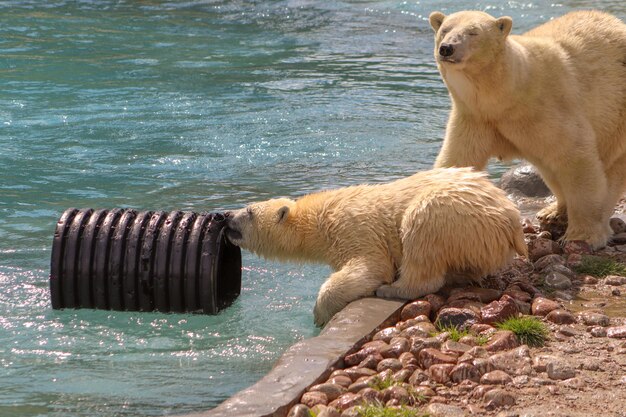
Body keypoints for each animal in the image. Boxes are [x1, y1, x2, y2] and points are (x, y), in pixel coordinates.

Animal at [224, 167, 528, 326]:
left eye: (248, 211)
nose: (225, 216)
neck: (319, 217)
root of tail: (511, 220)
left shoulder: (353, 228)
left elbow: (370, 267)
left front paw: (321, 315)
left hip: (453, 214)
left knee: (421, 231)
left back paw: (393, 289)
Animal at [426, 9, 624, 249]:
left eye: (473, 32)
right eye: (445, 29)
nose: (447, 48)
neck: (508, 93)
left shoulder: (548, 106)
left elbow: (576, 157)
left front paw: (583, 235)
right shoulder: (475, 117)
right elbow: (458, 159)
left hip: (617, 115)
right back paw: (553, 212)